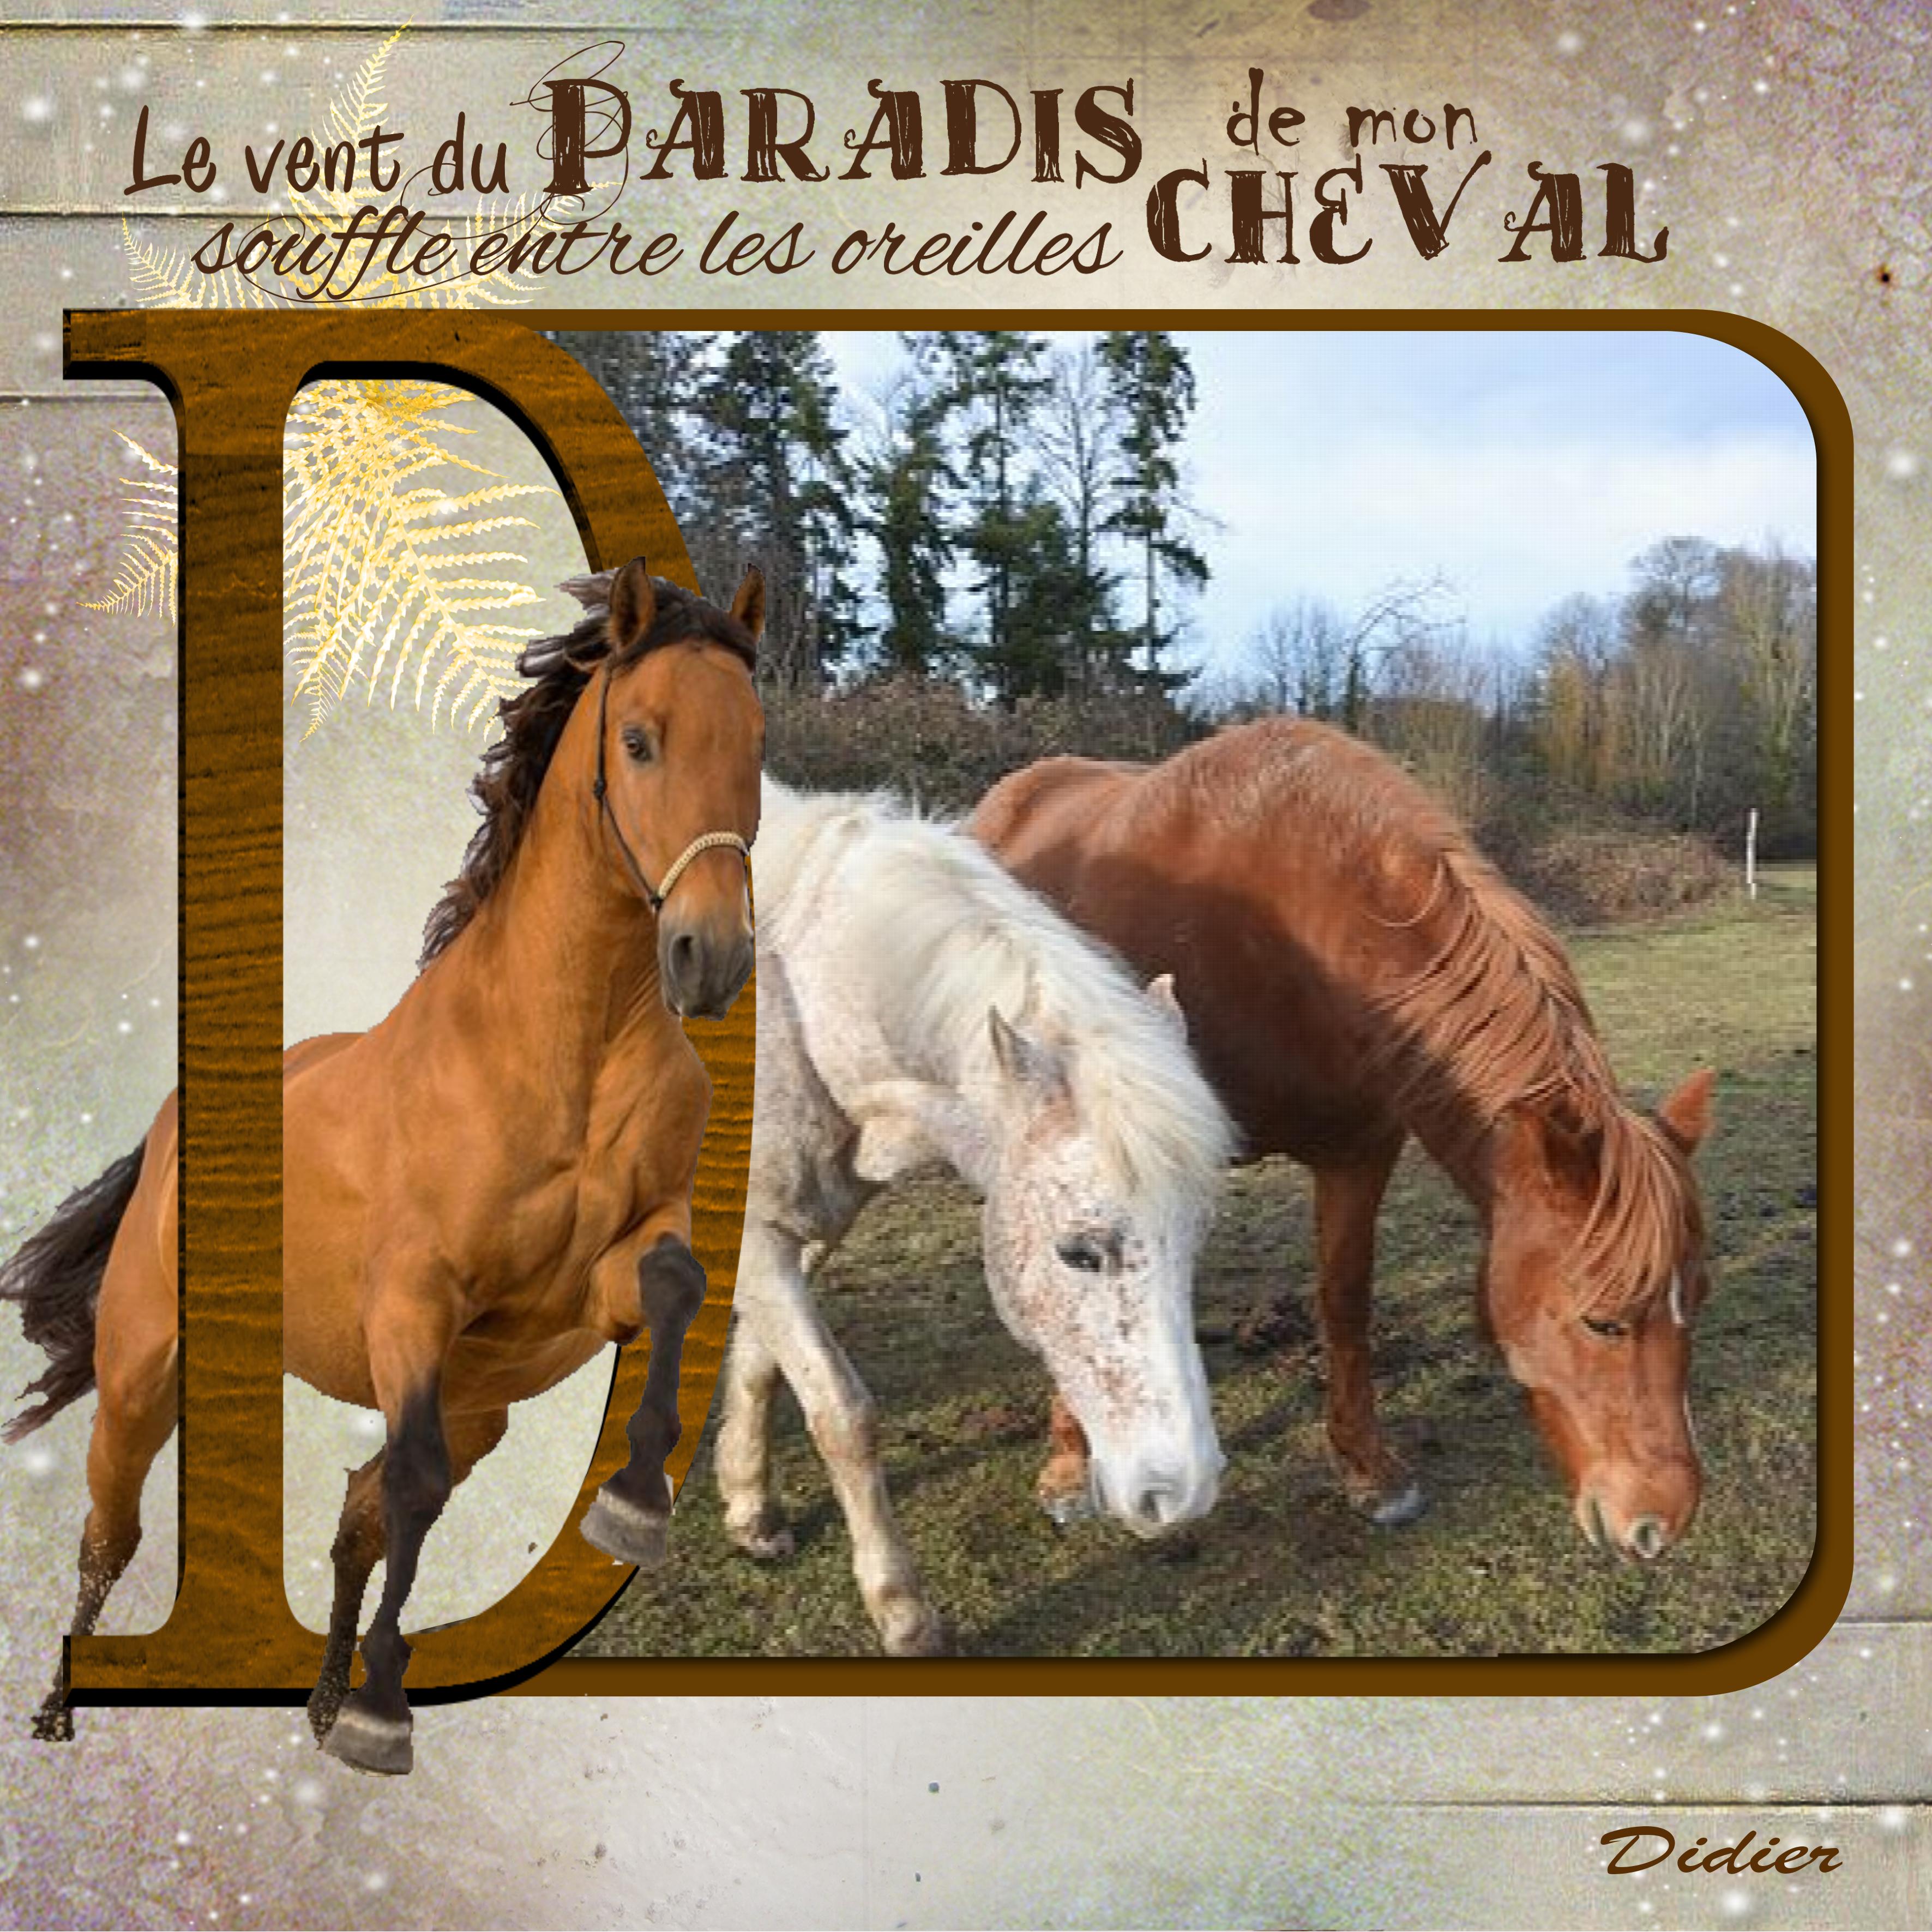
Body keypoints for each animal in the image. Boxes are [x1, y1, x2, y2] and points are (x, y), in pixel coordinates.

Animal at [2, 559, 765, 1772]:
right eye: (640, 740)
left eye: (757, 742)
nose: (712, 956)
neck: (565, 1051)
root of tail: (170, 1123)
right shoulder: (412, 1303)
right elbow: (410, 1485)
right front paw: (379, 1720)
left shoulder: (586, 1289)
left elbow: (674, 1284)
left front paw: (635, 1502)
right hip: (141, 1368)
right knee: (111, 1529)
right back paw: (61, 1707)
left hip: (477, 1402)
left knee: (356, 1515)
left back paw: (325, 1701)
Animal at [713, 778, 1234, 1653]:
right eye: (1077, 1253)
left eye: (1193, 1246)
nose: (1183, 1492)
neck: (794, 1001)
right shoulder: (753, 1238)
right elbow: (843, 1413)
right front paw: (902, 1611)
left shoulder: (797, 1228)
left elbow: (760, 1365)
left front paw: (751, 1507)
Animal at [971, 716, 1716, 1563]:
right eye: (1602, 1320)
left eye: (1696, 1297)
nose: (1660, 1521)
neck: (1297, 935)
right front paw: (1070, 1465)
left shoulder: (1359, 1152)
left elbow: (1345, 1301)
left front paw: (1369, 1470)